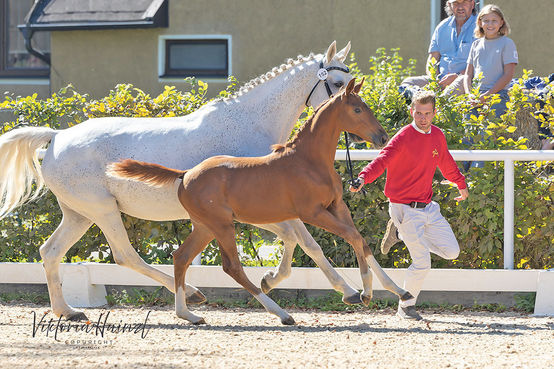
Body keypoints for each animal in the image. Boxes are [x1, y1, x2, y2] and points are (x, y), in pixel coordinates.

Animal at [108, 79, 410, 324]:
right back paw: (281, 313)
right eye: (357, 109)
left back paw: (188, 314)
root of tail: (184, 175)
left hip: (205, 227)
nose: (383, 137)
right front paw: (365, 293)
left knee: (180, 257)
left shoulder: (337, 207)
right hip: (221, 226)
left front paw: (397, 290)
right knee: (231, 266)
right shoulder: (312, 212)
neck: (308, 161)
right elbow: (352, 237)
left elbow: (361, 240)